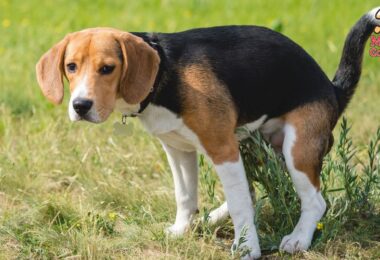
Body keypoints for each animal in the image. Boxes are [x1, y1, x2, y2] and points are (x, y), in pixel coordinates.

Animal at [36, 7, 380, 258]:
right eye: (71, 67)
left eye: (107, 69)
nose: (80, 106)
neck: (164, 73)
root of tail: (333, 89)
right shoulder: (177, 149)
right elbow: (186, 195)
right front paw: (181, 230)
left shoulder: (221, 148)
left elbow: (241, 205)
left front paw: (247, 248)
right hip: (254, 147)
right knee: (250, 191)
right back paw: (213, 218)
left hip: (295, 150)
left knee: (313, 201)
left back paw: (298, 239)